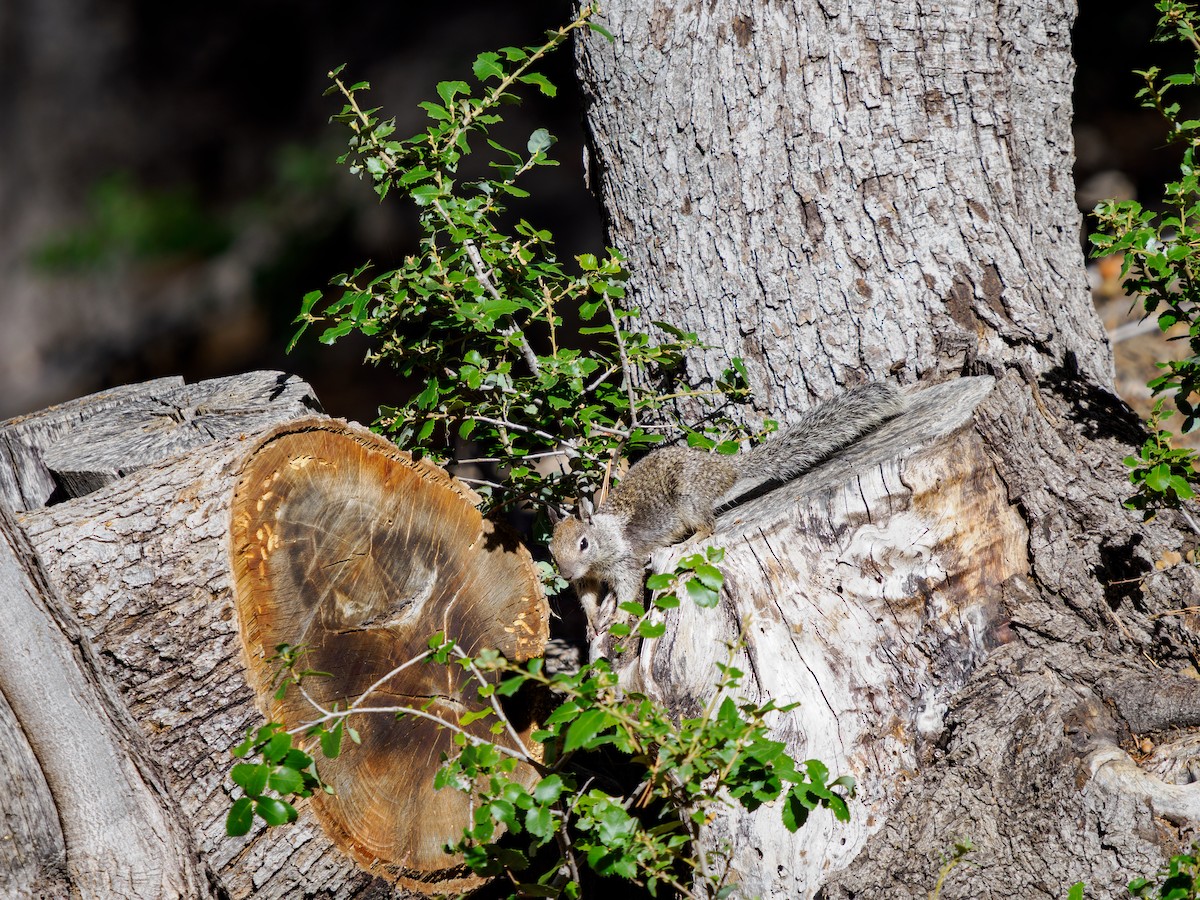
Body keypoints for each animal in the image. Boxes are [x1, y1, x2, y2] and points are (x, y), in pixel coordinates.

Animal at [549, 382, 907, 626]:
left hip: (688, 499)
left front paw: (621, 618)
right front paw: (593, 621)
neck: (604, 540)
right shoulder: (586, 577)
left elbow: (628, 589)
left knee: (708, 525)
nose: (564, 573)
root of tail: (726, 467)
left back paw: (689, 541)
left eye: (583, 543)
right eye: (552, 552)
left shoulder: (625, 562)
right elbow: (586, 595)